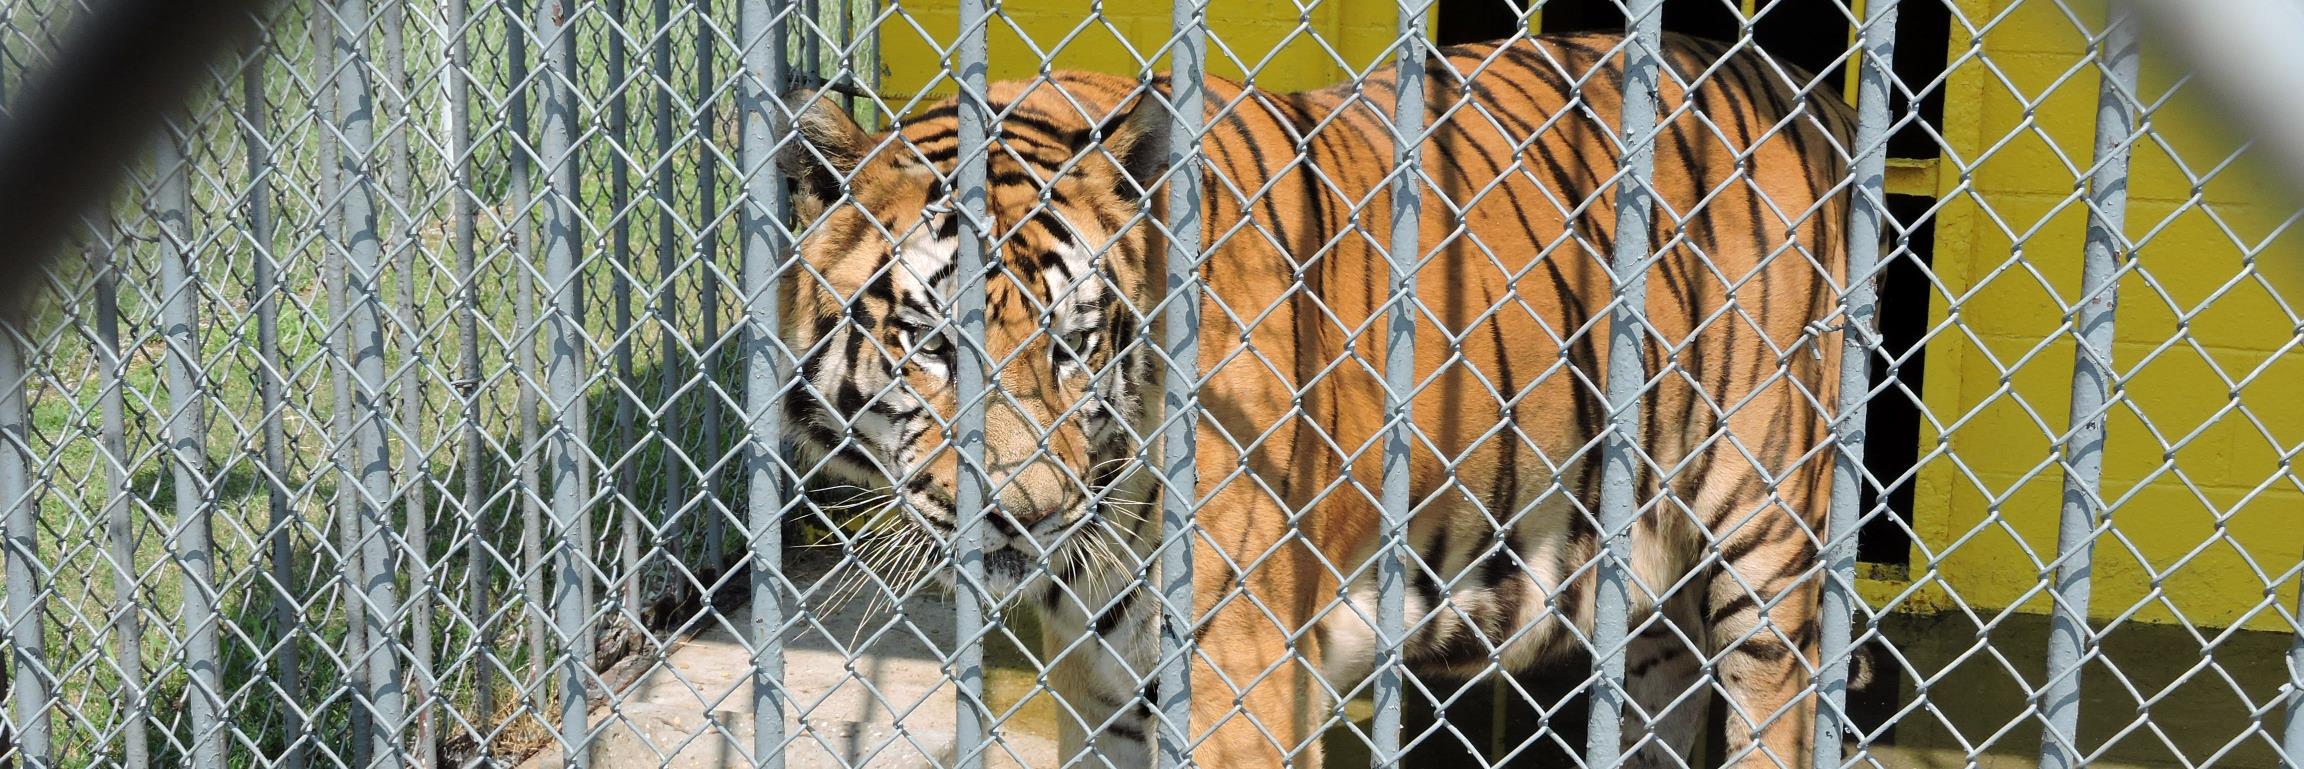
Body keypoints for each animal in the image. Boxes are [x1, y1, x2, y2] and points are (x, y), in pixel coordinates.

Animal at [779, 31, 1858, 769]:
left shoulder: (1243, 683)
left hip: (1765, 544)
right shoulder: (1105, 687)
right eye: (932, 345)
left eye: (1072, 344)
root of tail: (1796, 85)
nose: (1026, 514)